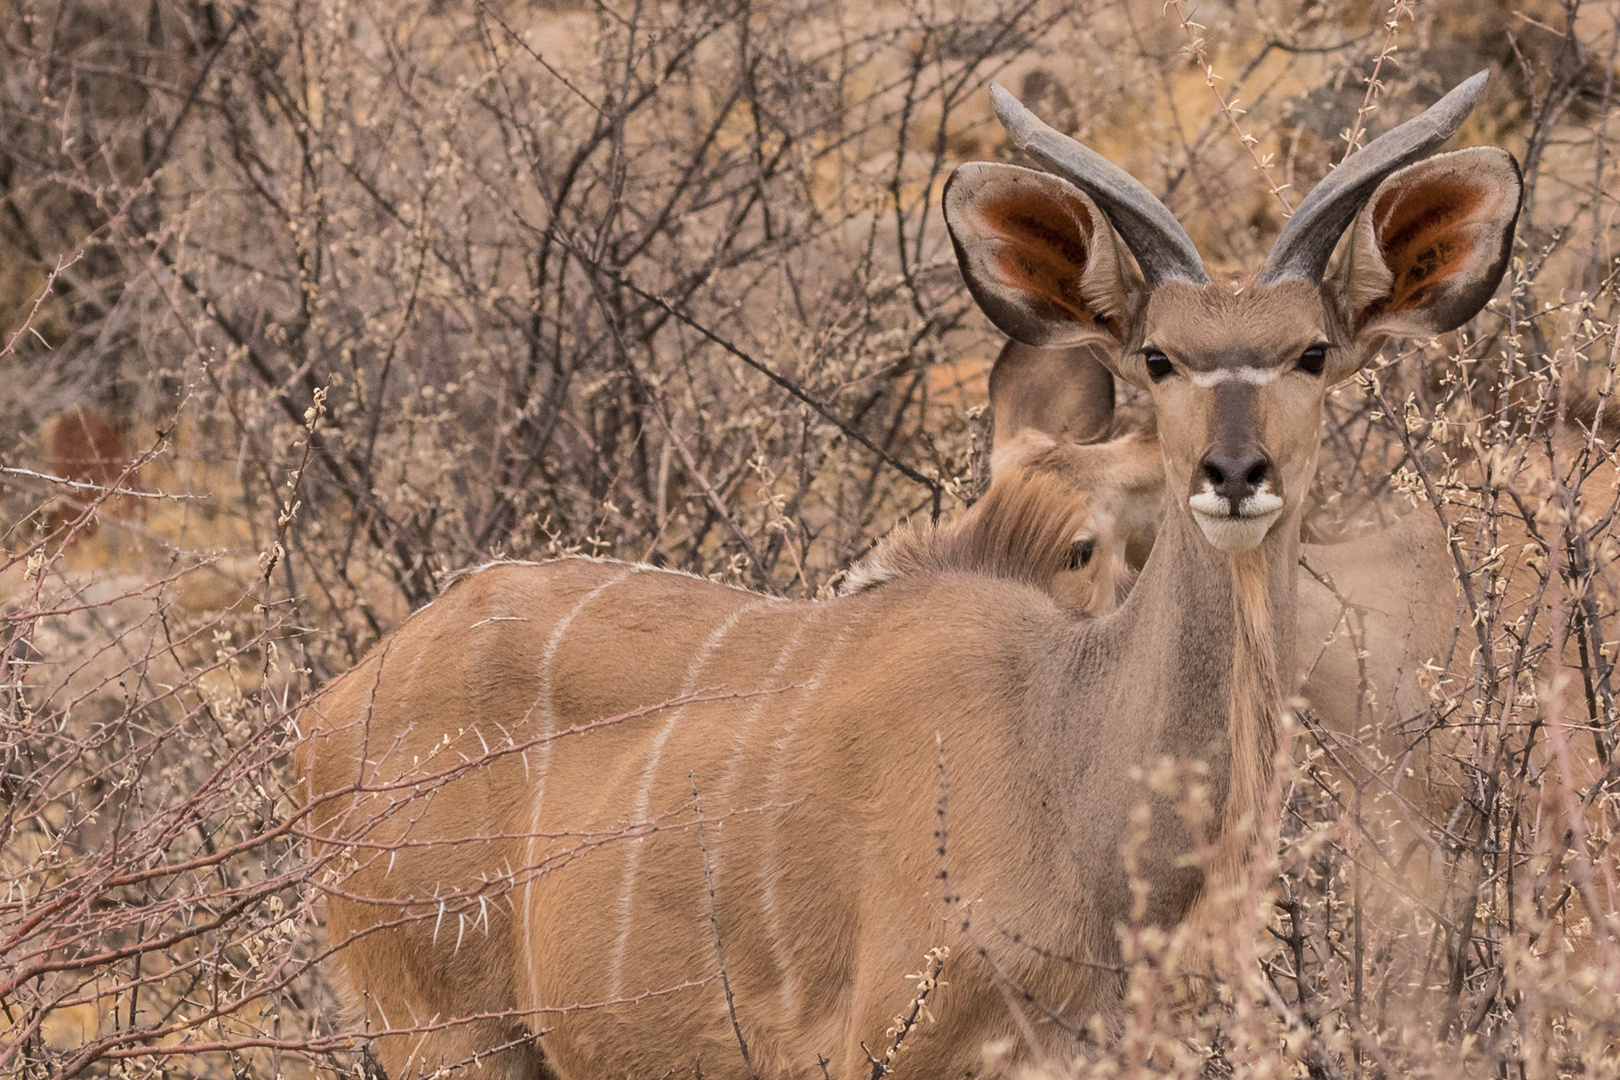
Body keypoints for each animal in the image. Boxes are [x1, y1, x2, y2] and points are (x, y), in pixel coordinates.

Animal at [301, 71, 1516, 1075]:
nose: (1232, 473)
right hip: (444, 1030)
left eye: (1312, 353)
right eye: (1159, 358)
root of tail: (331, 707)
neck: (1073, 775)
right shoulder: (888, 1041)